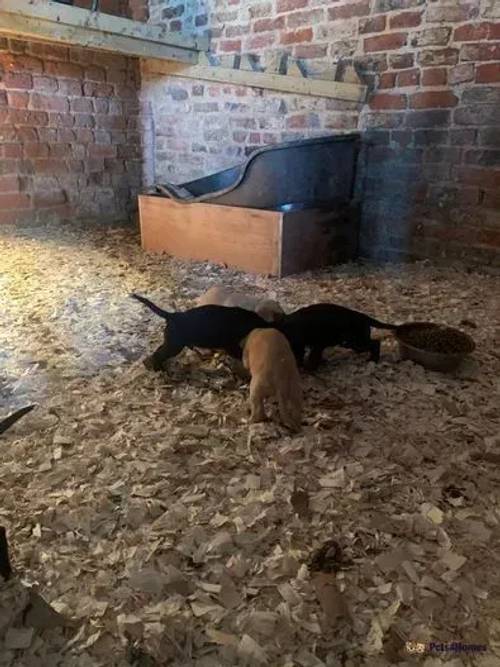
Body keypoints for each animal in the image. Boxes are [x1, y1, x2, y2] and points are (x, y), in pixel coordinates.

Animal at [131, 294, 268, 374]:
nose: (268, 324)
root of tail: (172, 315)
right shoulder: (230, 345)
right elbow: (238, 352)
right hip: (174, 346)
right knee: (158, 355)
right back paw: (159, 369)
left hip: (170, 343)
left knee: (157, 352)